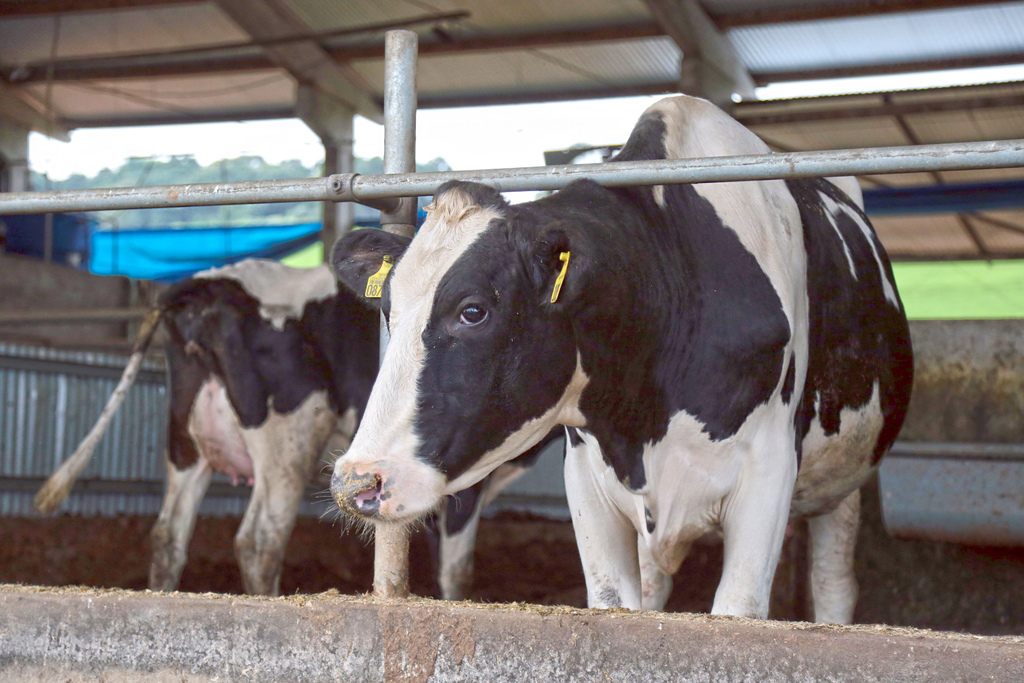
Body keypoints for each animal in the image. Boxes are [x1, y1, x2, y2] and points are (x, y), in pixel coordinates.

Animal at [331, 96, 917, 626]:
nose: (357, 483)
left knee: (833, 583)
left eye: (472, 311)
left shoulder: (768, 470)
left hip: (843, 479)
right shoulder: (587, 478)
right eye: (387, 309)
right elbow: (617, 604)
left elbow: (740, 608)